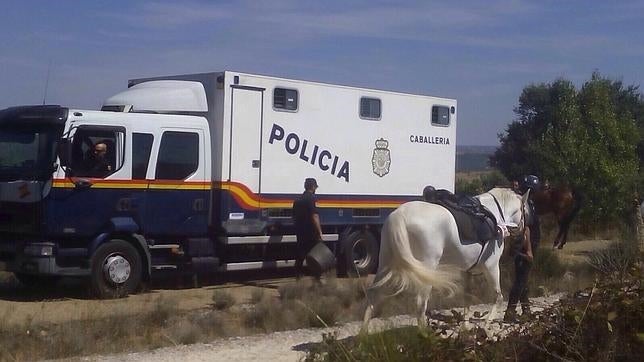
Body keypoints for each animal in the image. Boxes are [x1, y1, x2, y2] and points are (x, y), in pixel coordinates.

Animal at [362, 188, 528, 332]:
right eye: (525, 211)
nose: (522, 234)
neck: (495, 214)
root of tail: (400, 216)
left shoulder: (466, 271)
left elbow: (467, 298)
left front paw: (465, 328)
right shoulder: (491, 267)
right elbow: (498, 297)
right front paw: (486, 327)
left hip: (385, 265)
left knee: (373, 295)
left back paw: (363, 336)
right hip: (426, 269)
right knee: (420, 304)